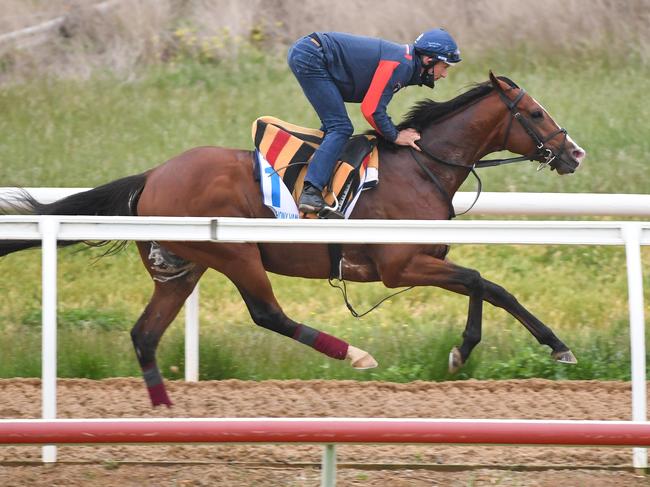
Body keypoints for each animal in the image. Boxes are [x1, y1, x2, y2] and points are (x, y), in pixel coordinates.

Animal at [0, 72, 584, 408]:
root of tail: (152, 175)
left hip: (181, 269)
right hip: (234, 253)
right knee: (267, 314)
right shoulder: (401, 265)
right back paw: (354, 354)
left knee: (145, 335)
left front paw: (539, 346)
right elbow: (483, 281)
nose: (574, 153)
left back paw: (164, 413)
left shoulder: (421, 261)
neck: (421, 168)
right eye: (535, 113)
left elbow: (490, 288)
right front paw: (474, 351)